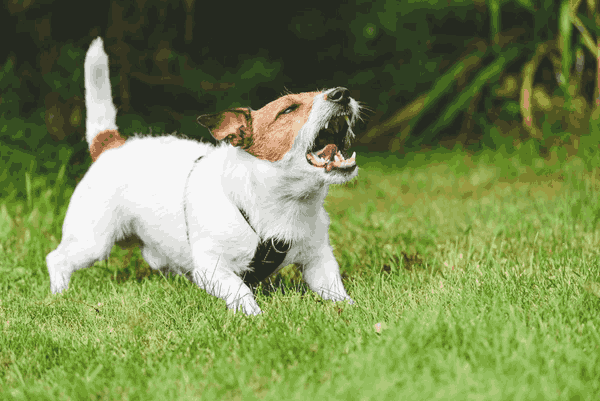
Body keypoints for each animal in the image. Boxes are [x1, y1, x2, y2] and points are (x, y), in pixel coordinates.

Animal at [47, 37, 360, 314]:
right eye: (288, 110)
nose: (342, 93)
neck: (283, 205)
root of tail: (111, 144)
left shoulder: (318, 259)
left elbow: (332, 287)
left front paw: (350, 308)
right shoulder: (212, 267)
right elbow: (238, 288)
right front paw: (252, 313)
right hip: (92, 242)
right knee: (56, 259)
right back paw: (60, 293)